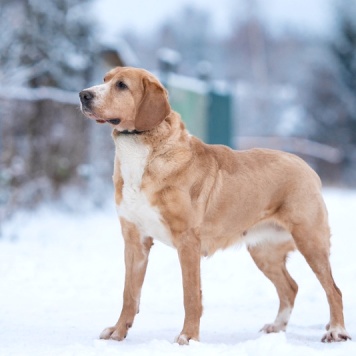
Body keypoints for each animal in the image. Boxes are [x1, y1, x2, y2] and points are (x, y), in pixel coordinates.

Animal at [78, 67, 350, 344]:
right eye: (104, 80)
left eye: (121, 85)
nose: (83, 95)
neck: (142, 151)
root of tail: (306, 166)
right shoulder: (135, 239)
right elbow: (129, 293)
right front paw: (118, 331)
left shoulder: (187, 241)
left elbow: (190, 295)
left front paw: (188, 337)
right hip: (264, 252)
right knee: (290, 287)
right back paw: (277, 327)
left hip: (310, 240)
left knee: (333, 290)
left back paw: (337, 331)